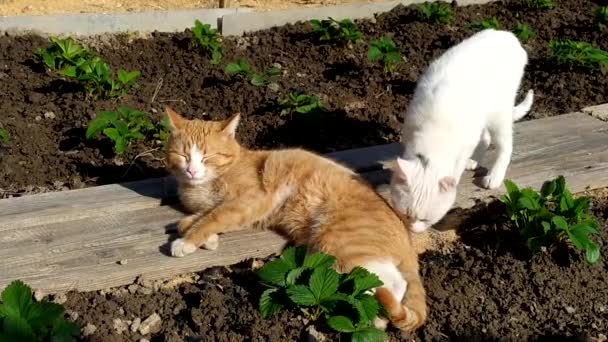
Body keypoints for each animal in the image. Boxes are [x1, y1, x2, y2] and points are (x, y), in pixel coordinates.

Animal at [164, 106, 426, 332]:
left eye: (207, 157)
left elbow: (212, 217)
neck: (201, 186)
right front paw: (205, 237)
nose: (192, 171)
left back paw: (377, 318)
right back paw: (379, 318)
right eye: (182, 155)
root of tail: (406, 239)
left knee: (393, 283)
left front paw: (187, 242)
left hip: (340, 248)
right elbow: (192, 219)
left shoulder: (250, 201)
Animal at [390, 28, 532, 232]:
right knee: (486, 138)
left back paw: (494, 176)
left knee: (505, 146)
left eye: (425, 220)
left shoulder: (464, 145)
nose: (413, 230)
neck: (433, 141)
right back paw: (474, 161)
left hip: (499, 113)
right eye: (406, 214)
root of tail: (509, 35)